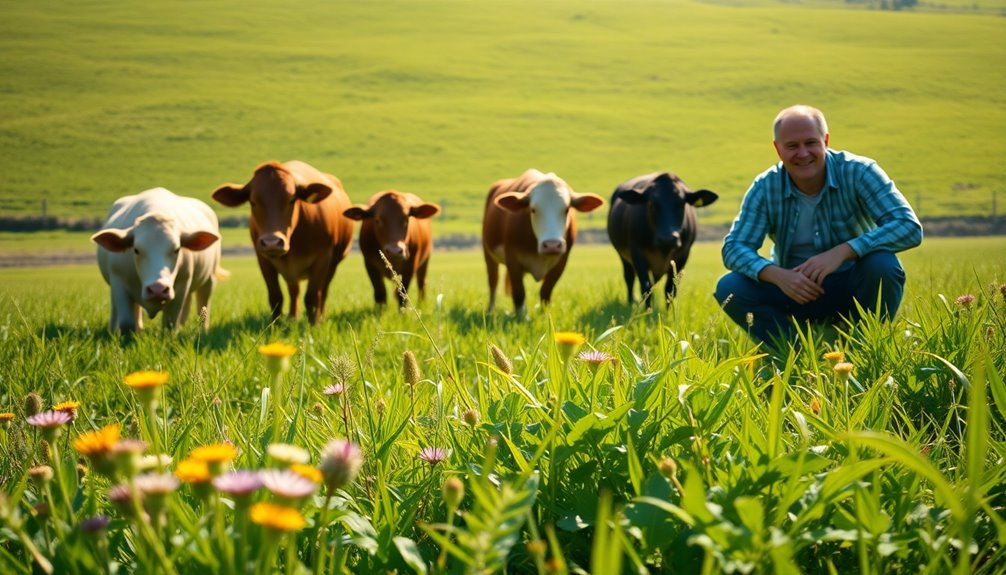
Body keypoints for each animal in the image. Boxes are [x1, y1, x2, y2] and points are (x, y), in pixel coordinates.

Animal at [91, 185, 223, 333]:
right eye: (136, 250)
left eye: (177, 249)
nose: (158, 289)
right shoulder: (118, 282)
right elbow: (127, 322)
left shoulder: (182, 286)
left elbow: (170, 322)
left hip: (209, 279)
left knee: (202, 302)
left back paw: (203, 330)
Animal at [210, 160, 356, 323]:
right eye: (253, 202)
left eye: (292, 200)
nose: (272, 242)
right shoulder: (263, 260)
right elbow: (276, 297)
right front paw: (275, 325)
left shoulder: (323, 258)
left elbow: (312, 297)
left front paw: (314, 325)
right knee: (294, 290)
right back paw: (293, 317)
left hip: (333, 264)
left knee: (323, 291)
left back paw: (320, 316)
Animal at [480, 168, 599, 317]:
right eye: (533, 209)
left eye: (566, 209)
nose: (552, 245)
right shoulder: (513, 259)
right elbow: (519, 292)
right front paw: (521, 317)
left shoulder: (561, 262)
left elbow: (545, 292)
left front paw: (544, 315)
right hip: (488, 254)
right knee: (493, 282)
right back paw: (490, 310)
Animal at [603, 170, 716, 307]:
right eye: (652, 204)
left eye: (681, 204)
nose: (667, 238)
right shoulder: (637, 254)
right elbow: (645, 287)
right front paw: (648, 311)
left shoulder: (683, 255)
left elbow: (670, 289)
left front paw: (669, 312)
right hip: (623, 257)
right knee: (629, 278)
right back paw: (631, 302)